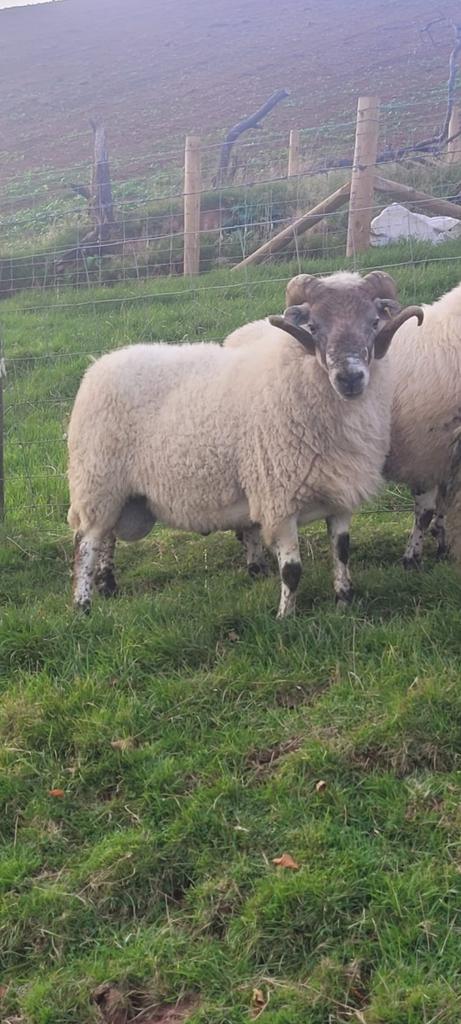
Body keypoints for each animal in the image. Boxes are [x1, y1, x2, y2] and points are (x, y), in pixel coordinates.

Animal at [67, 270, 422, 617]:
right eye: (314, 326)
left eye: (373, 322)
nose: (349, 377)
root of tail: (99, 364)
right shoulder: (278, 498)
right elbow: (292, 570)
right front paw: (285, 618)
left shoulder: (340, 496)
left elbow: (343, 552)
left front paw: (344, 601)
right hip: (98, 481)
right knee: (87, 543)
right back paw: (83, 605)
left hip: (118, 491)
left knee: (108, 537)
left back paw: (108, 586)